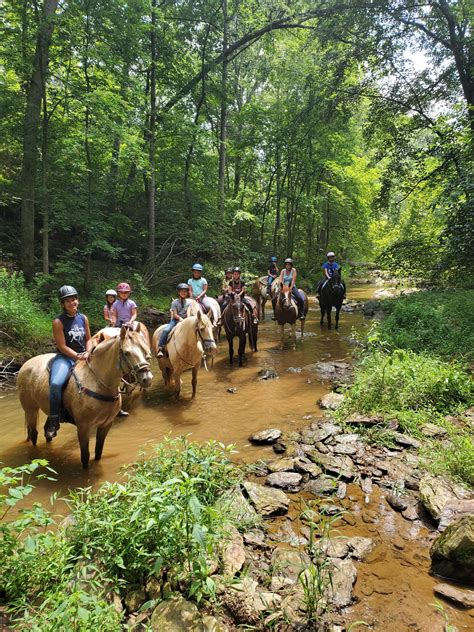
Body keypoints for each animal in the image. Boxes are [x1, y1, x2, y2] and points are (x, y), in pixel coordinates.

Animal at [16, 326, 153, 470]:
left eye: (145, 351)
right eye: (126, 353)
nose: (147, 379)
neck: (98, 383)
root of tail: (26, 364)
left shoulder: (106, 425)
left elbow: (98, 451)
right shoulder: (83, 427)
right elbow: (85, 456)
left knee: (46, 431)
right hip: (30, 410)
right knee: (34, 434)